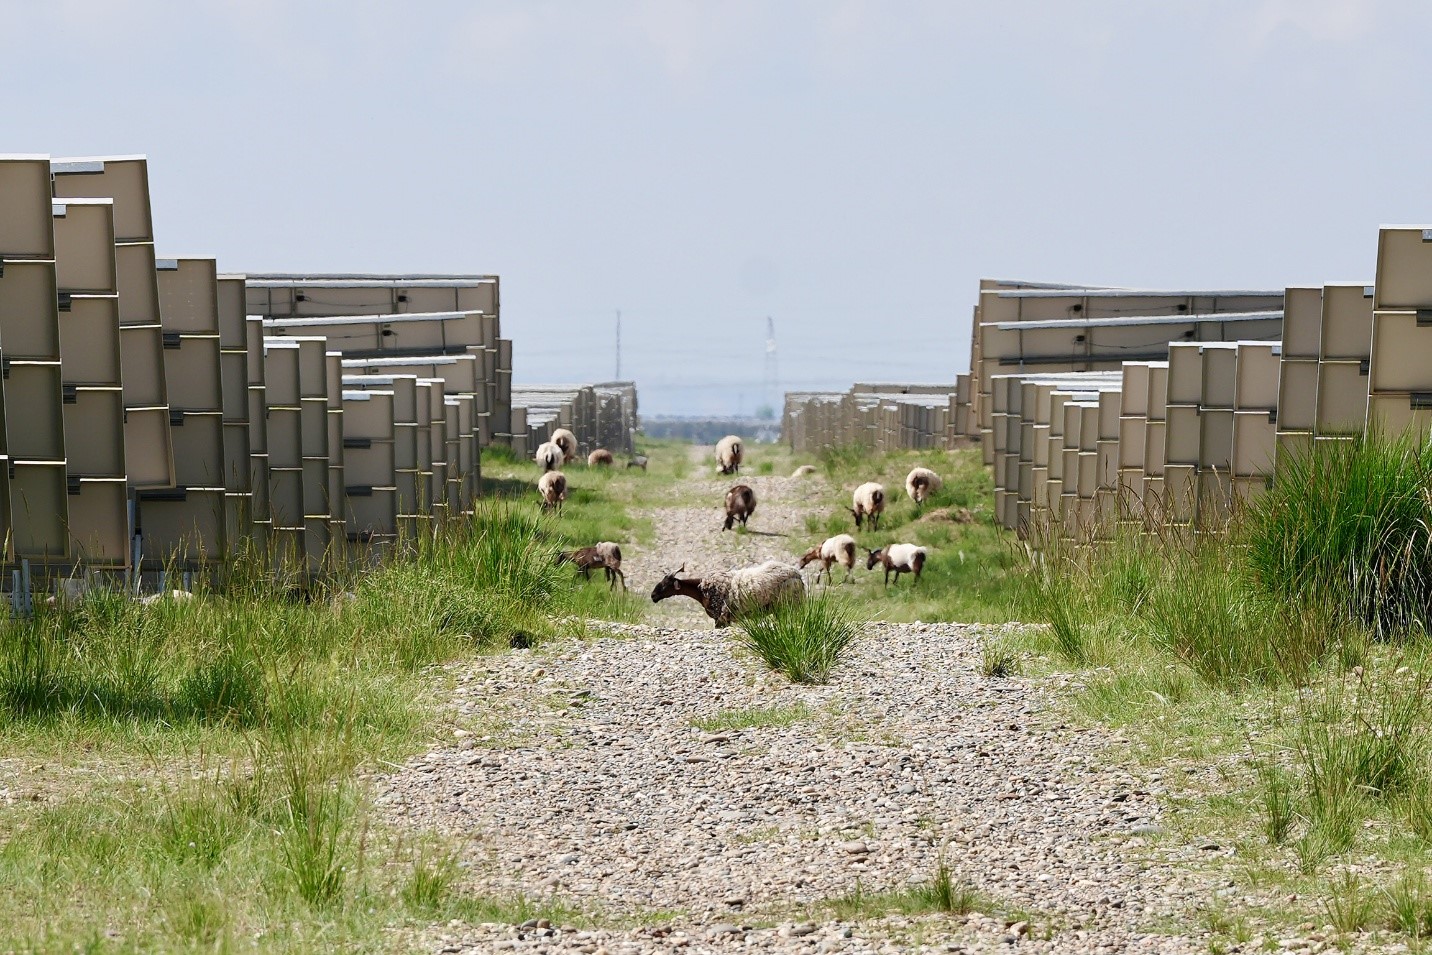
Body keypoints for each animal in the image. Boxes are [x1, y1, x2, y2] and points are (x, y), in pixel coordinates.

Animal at [650, 560, 805, 628]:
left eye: (664, 584)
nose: (653, 596)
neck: (700, 590)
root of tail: (797, 575)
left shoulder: (720, 617)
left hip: (787, 603)